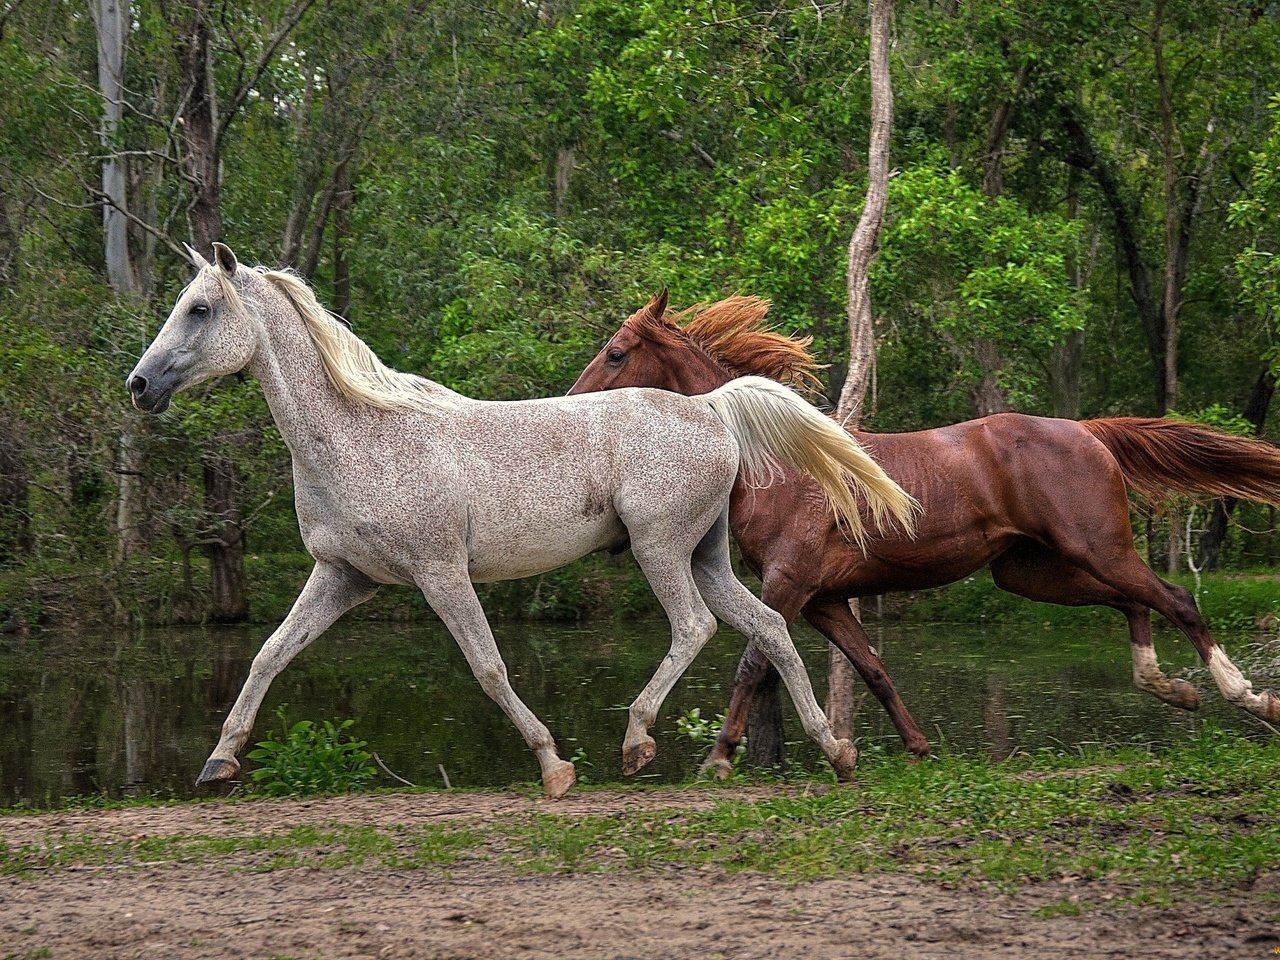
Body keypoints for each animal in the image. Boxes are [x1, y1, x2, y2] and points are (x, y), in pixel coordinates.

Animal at [127, 244, 921, 798]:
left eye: (200, 309)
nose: (139, 385)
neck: (358, 436)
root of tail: (709, 407)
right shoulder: (344, 576)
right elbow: (269, 653)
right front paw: (219, 761)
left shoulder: (440, 573)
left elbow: (488, 667)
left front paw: (553, 767)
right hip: (705, 555)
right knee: (770, 628)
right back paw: (837, 753)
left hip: (660, 549)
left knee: (695, 627)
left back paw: (638, 744)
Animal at [573, 291, 1280, 773]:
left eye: (617, 352)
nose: (571, 400)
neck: (779, 458)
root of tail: (1088, 431)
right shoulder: (826, 599)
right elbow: (873, 670)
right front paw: (915, 748)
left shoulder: (790, 582)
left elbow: (756, 661)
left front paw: (719, 758)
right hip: (1033, 571)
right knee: (1135, 601)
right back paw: (1169, 687)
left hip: (1095, 548)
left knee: (1175, 599)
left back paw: (1245, 695)